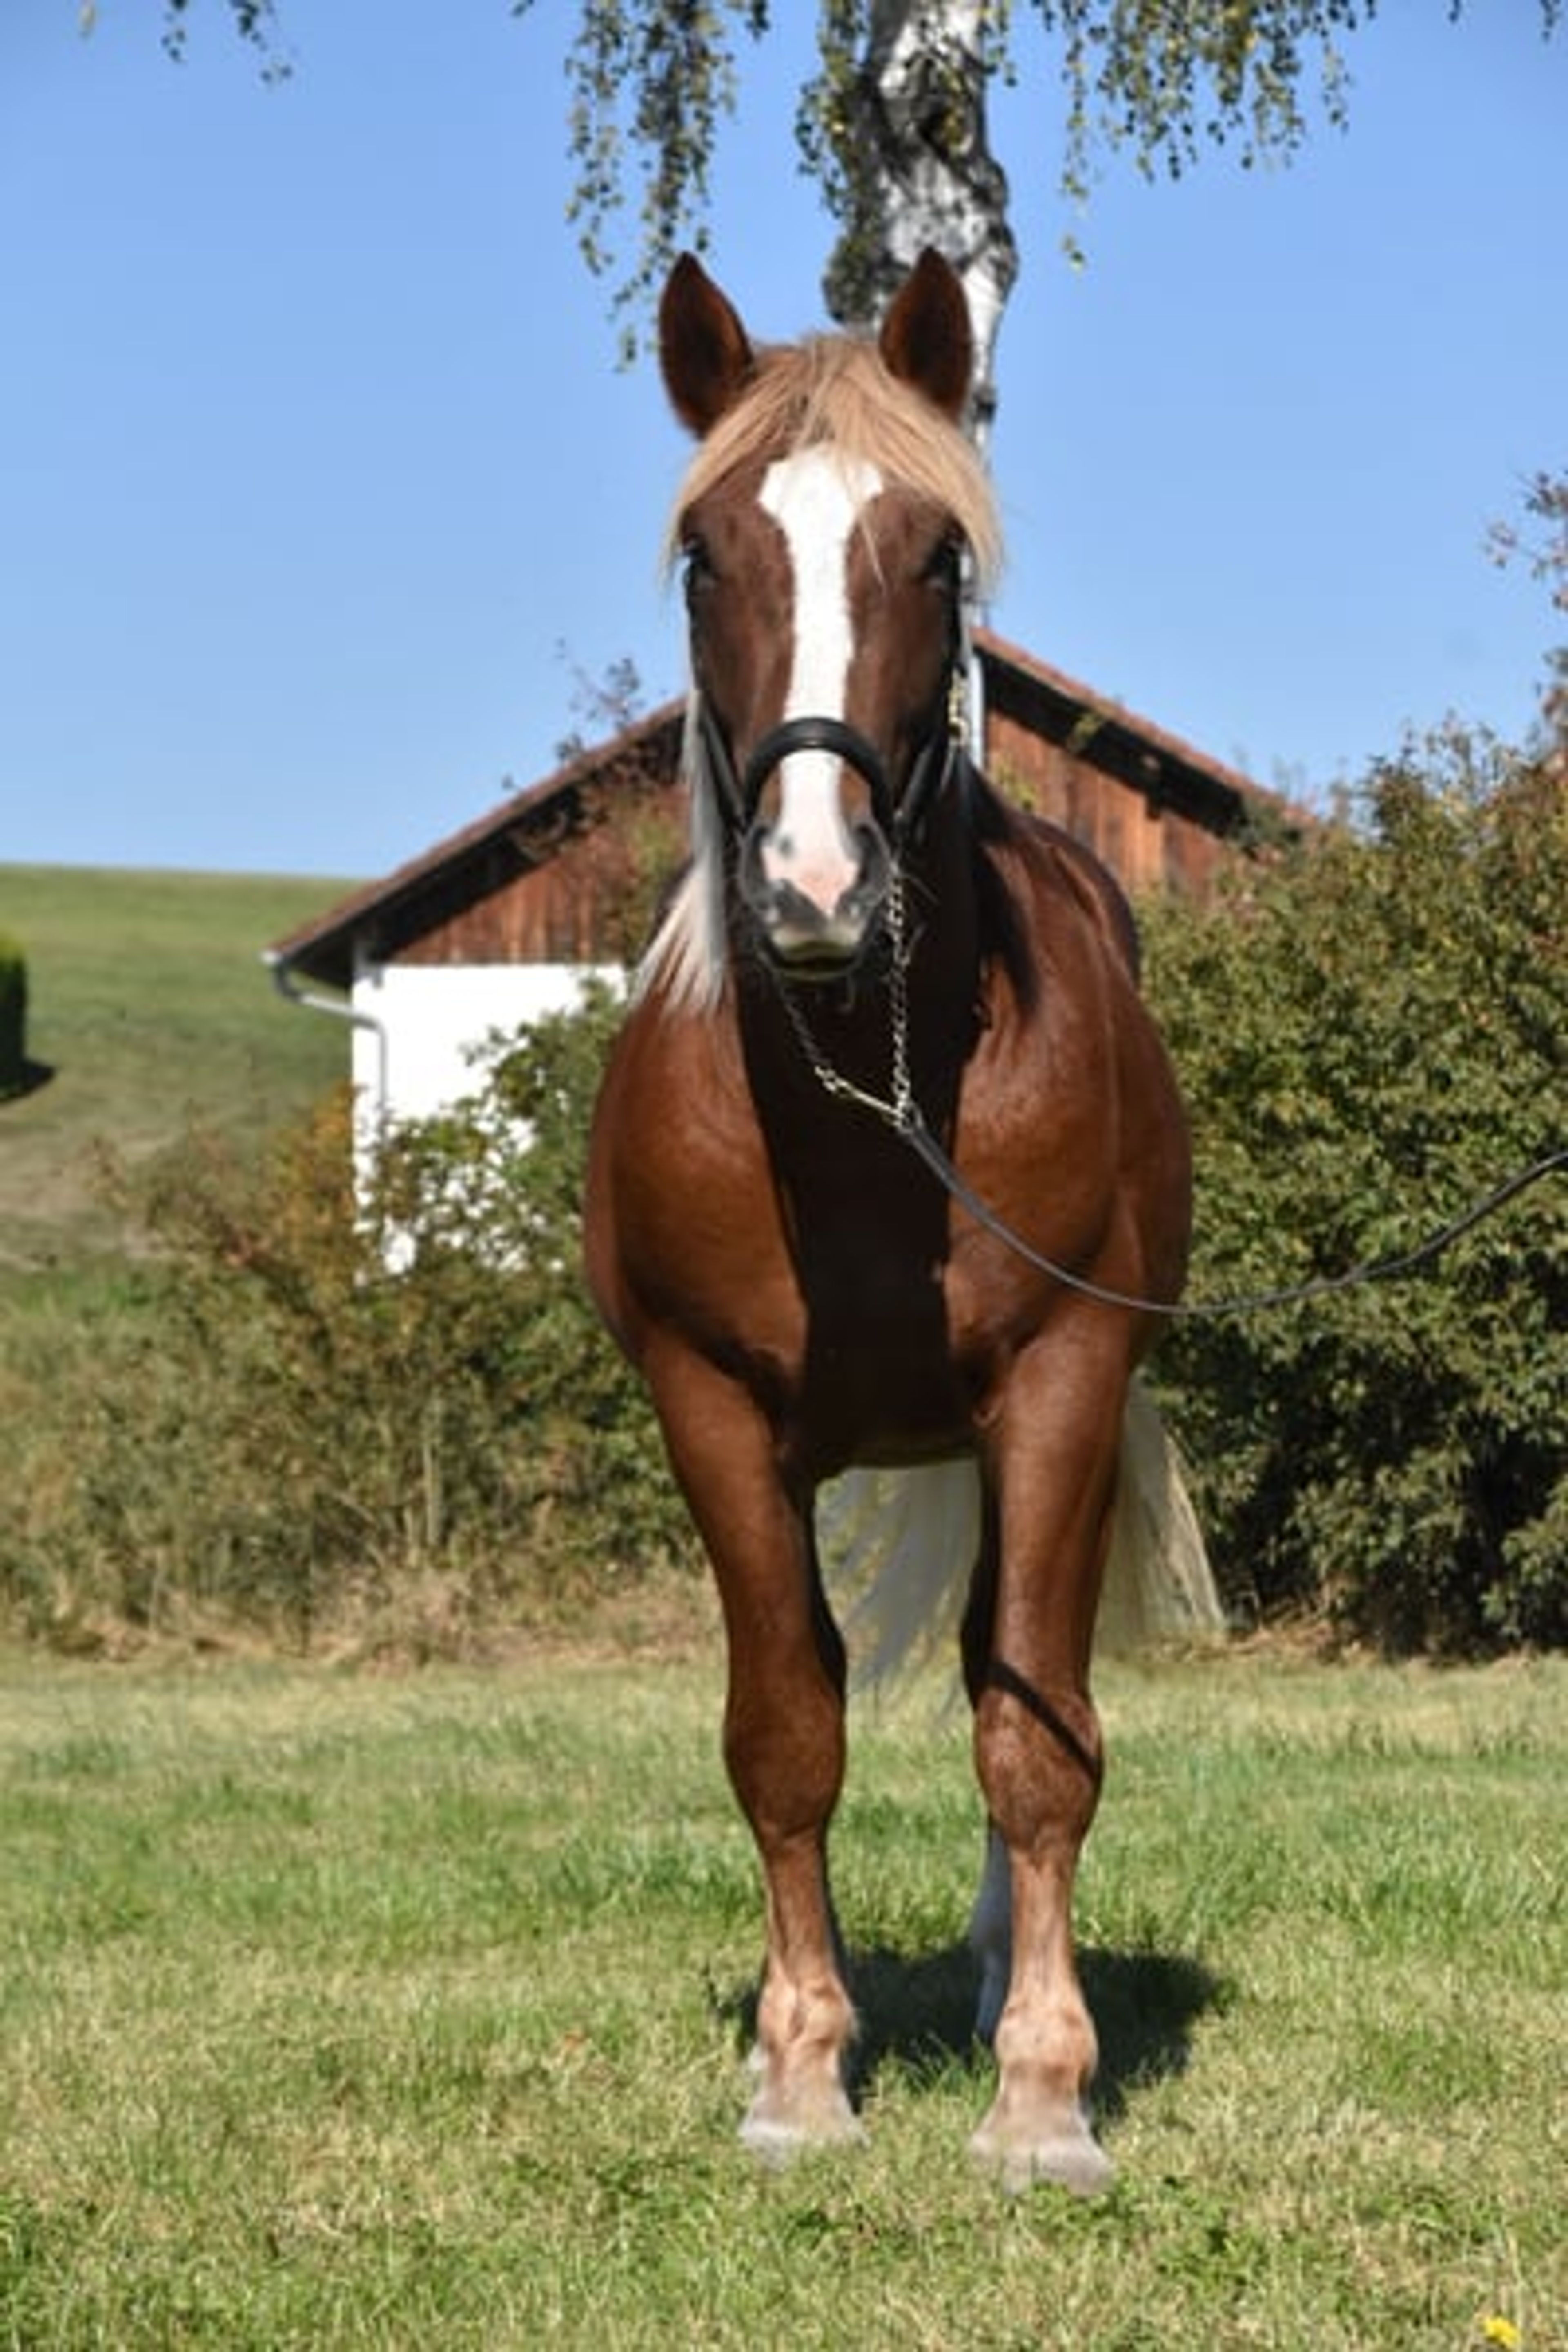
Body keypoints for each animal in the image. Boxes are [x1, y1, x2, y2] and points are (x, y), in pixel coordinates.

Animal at [584, 249, 1196, 2193]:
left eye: (935, 558)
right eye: (708, 559)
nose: (814, 887)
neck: (862, 1091)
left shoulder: (1062, 1378)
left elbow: (1035, 1735)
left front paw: (1043, 2092)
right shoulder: (708, 1405)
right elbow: (785, 1733)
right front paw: (801, 2065)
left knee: (1020, 1674)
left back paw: (1008, 1973)